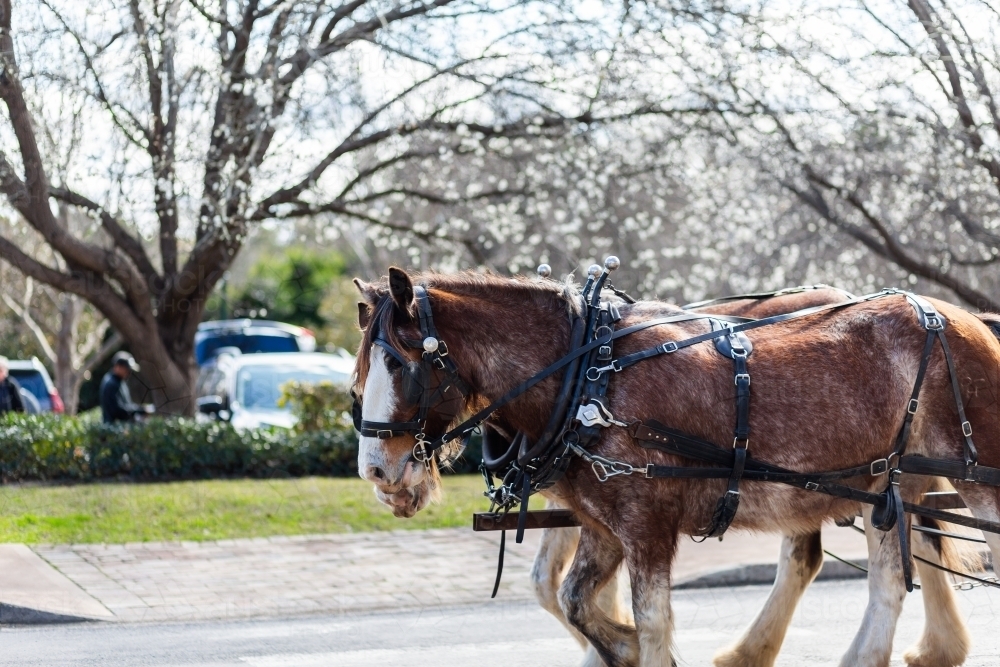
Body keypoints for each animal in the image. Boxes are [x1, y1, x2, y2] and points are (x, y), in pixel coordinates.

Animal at [354, 270, 1000, 667]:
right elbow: (572, 598)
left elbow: (651, 621)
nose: (377, 473)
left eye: (399, 363)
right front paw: (616, 650)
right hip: (885, 486)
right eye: (364, 368)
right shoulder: (600, 524)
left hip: (972, 477)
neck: (588, 376)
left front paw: (634, 646)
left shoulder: (647, 526)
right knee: (888, 579)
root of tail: (964, 317)